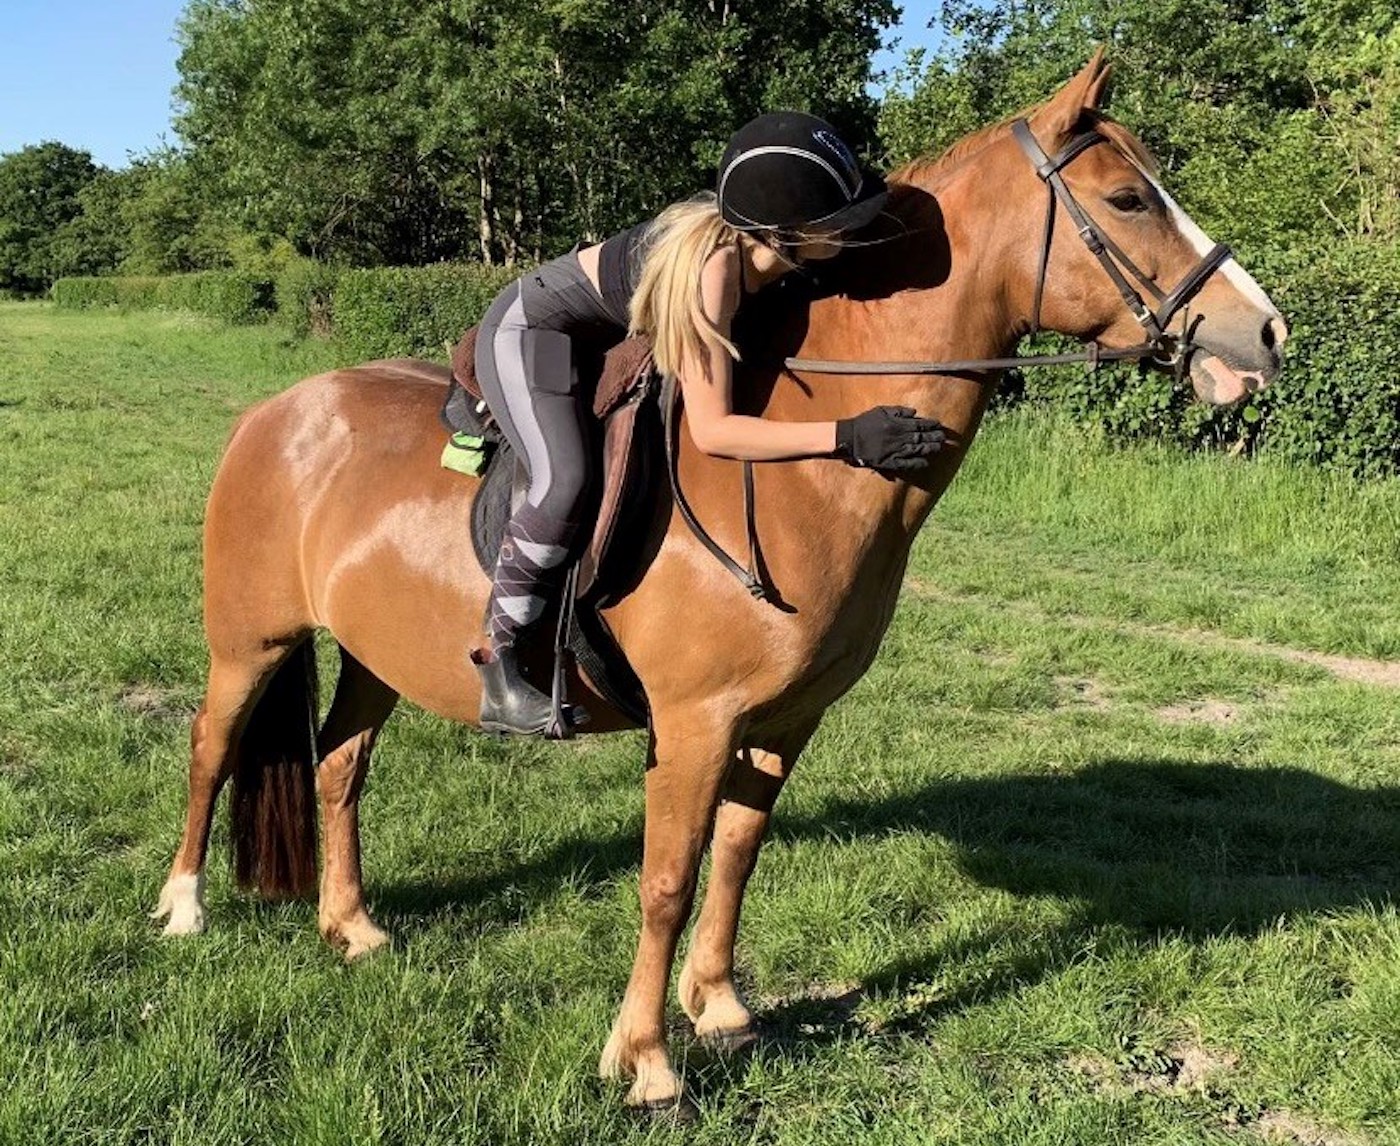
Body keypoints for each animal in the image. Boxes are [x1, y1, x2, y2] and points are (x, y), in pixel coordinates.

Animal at [152, 51, 1287, 1114]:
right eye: (1128, 199)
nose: (1266, 333)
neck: (799, 469)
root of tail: (278, 413)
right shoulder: (694, 723)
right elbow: (665, 880)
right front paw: (646, 1061)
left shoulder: (785, 719)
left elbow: (737, 854)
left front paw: (723, 1009)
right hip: (249, 642)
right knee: (211, 747)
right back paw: (184, 908)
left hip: (373, 656)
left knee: (340, 766)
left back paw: (349, 926)